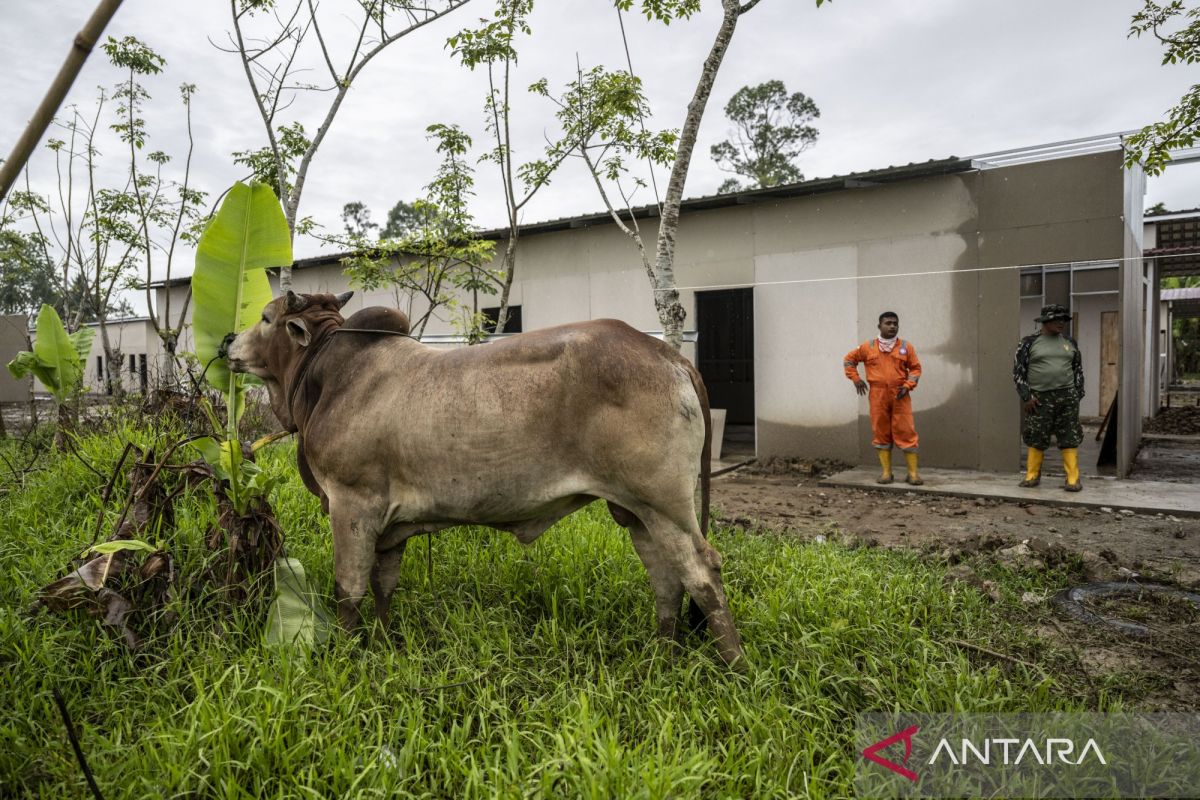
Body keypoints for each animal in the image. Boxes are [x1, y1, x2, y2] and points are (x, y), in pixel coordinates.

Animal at [227, 290, 744, 667]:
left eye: (266, 317)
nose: (228, 341)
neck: (328, 377)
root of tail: (667, 354)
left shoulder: (351, 504)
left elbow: (349, 588)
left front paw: (346, 655)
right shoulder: (388, 524)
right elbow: (383, 585)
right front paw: (383, 642)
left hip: (665, 504)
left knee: (703, 572)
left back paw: (735, 668)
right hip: (636, 511)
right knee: (666, 577)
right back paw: (663, 655)